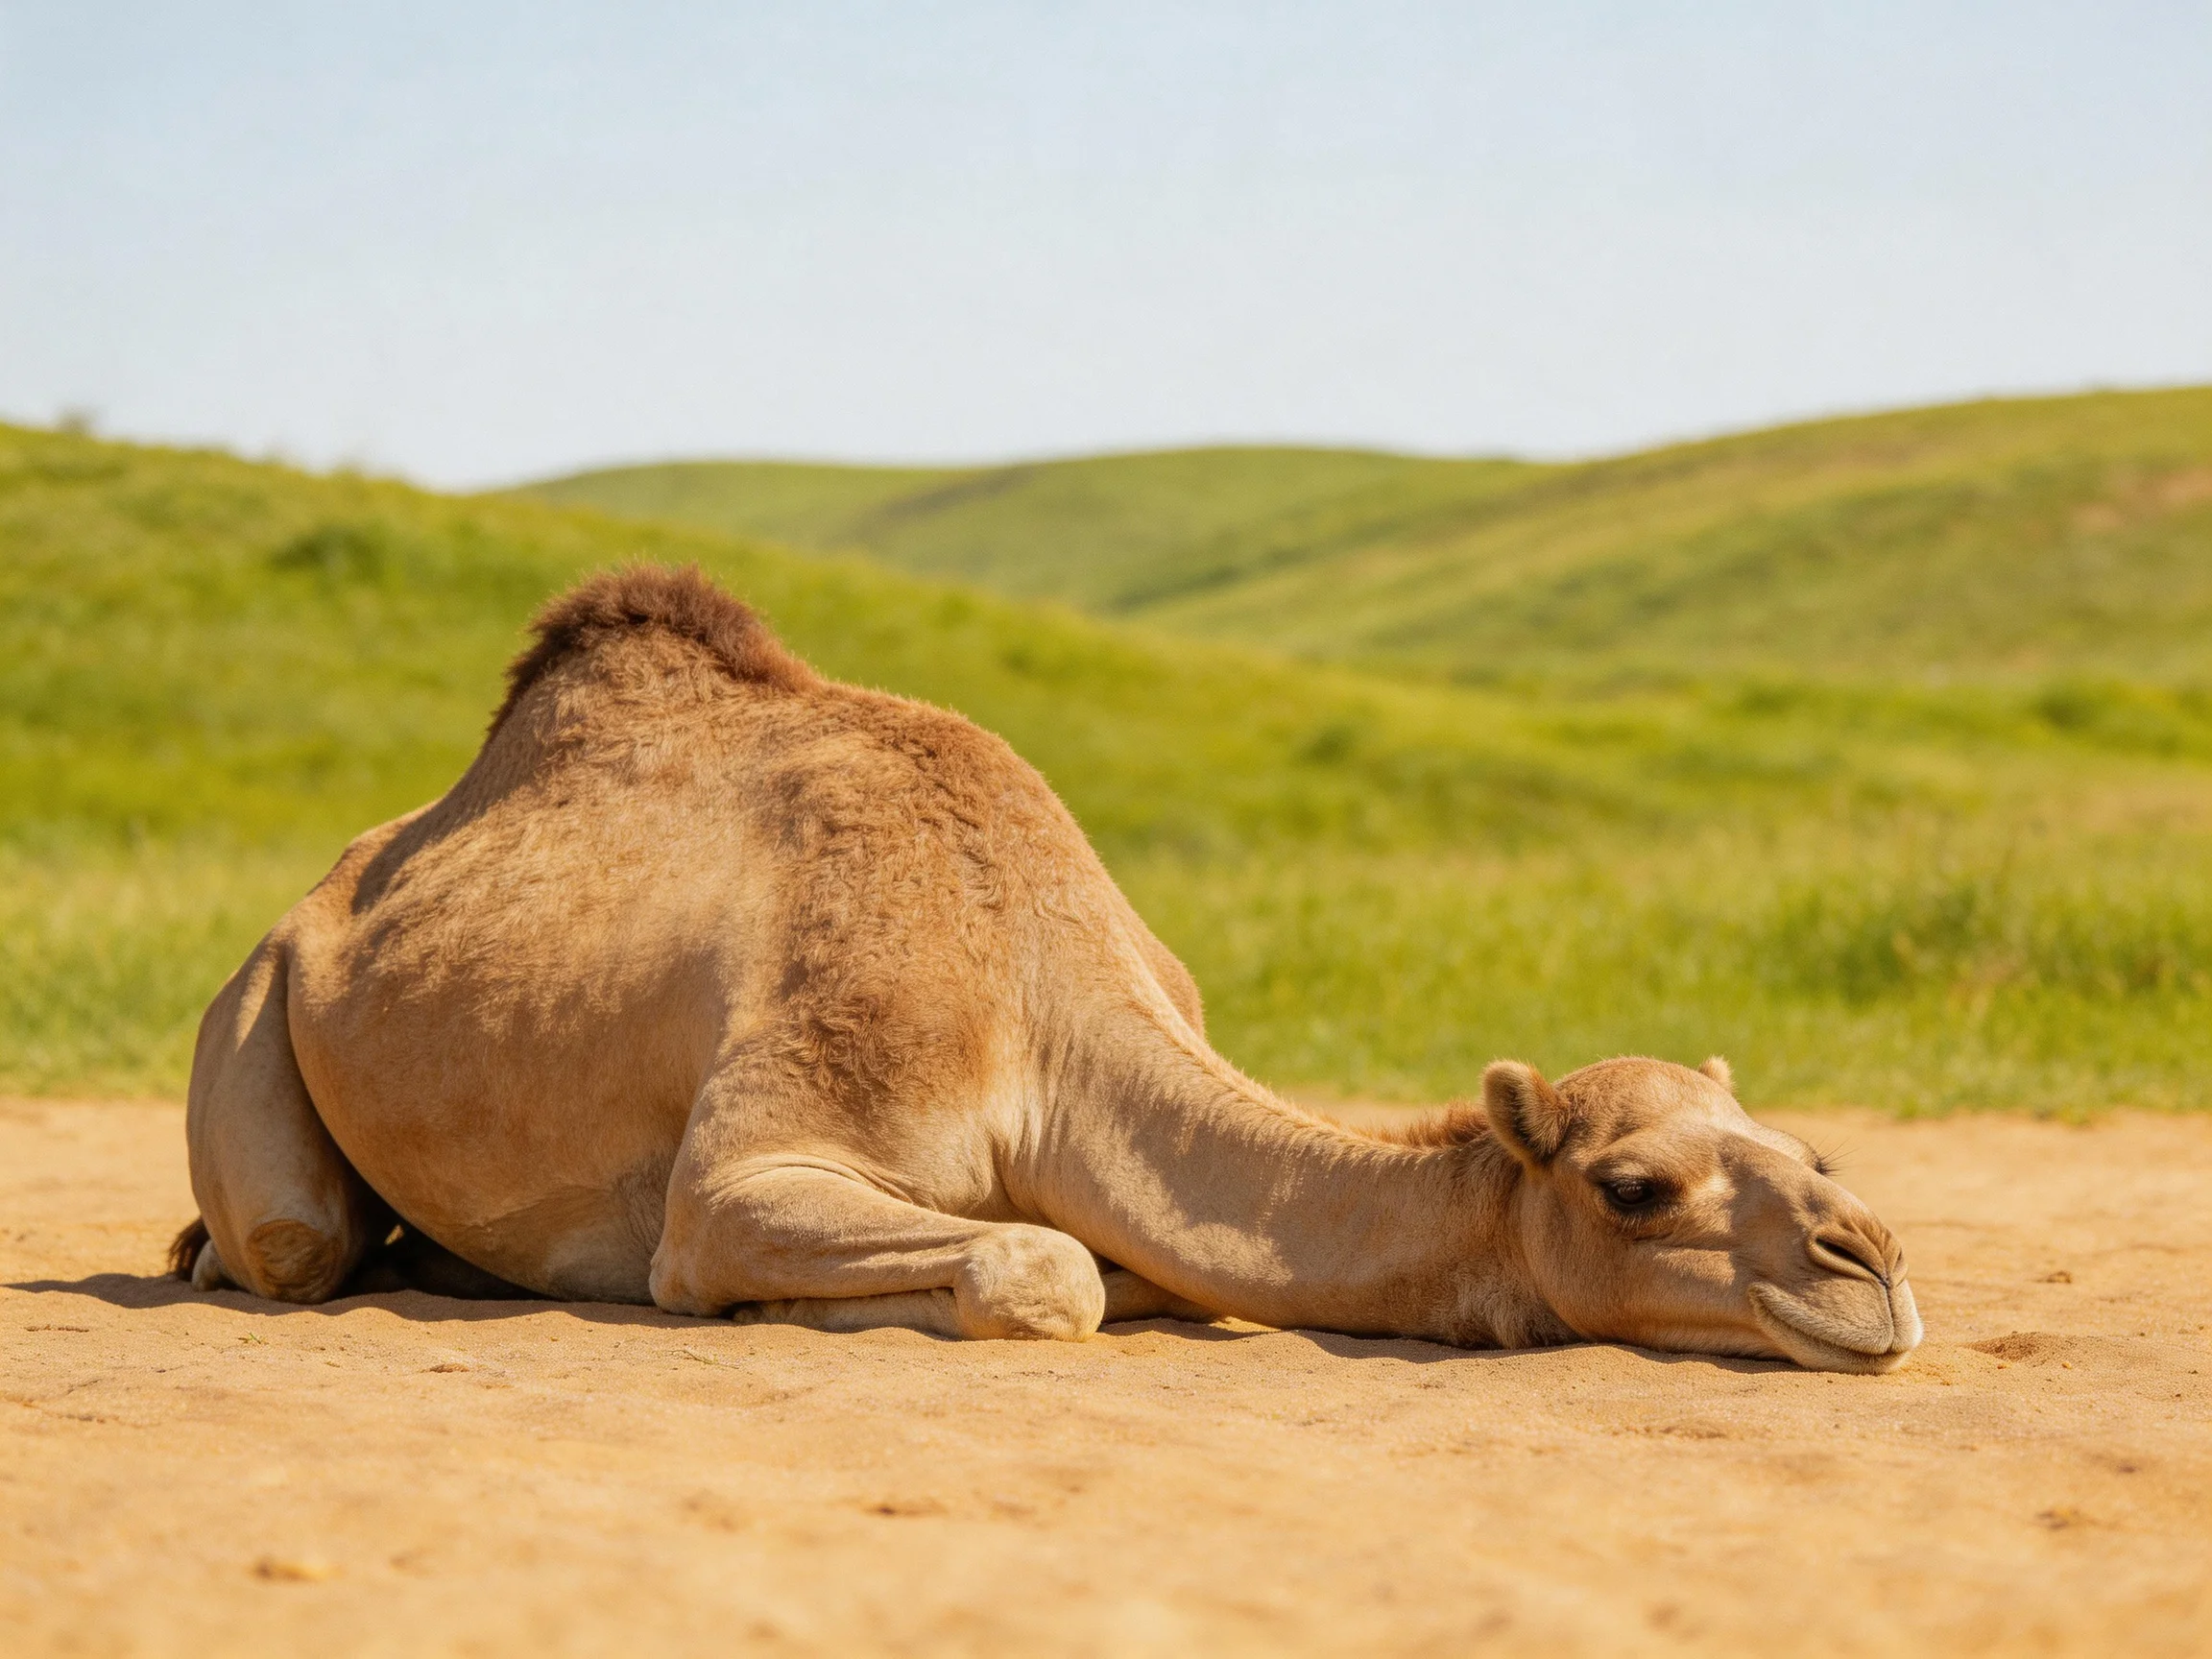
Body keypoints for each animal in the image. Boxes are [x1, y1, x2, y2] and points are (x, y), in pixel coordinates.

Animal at [172, 566, 1921, 1373]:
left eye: (1812, 1150)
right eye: (1631, 1186)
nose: (1875, 1265)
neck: (1044, 1002)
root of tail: (329, 884)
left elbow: (1107, 1256)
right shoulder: (757, 1154)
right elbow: (1040, 1265)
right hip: (254, 992)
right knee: (294, 1234)